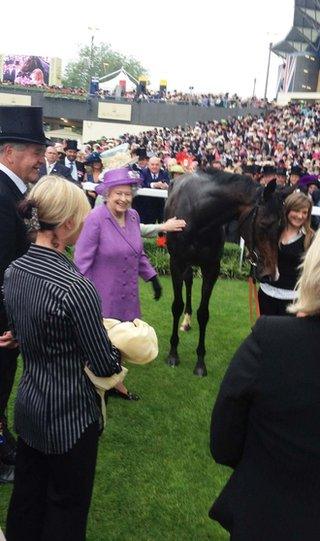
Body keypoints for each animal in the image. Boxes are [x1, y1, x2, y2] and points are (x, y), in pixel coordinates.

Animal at [165, 169, 284, 376]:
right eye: (264, 223)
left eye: (281, 227)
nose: (271, 274)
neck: (198, 215)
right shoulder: (176, 263)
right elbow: (176, 305)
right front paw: (173, 353)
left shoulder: (212, 267)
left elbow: (204, 313)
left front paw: (200, 362)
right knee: (188, 281)